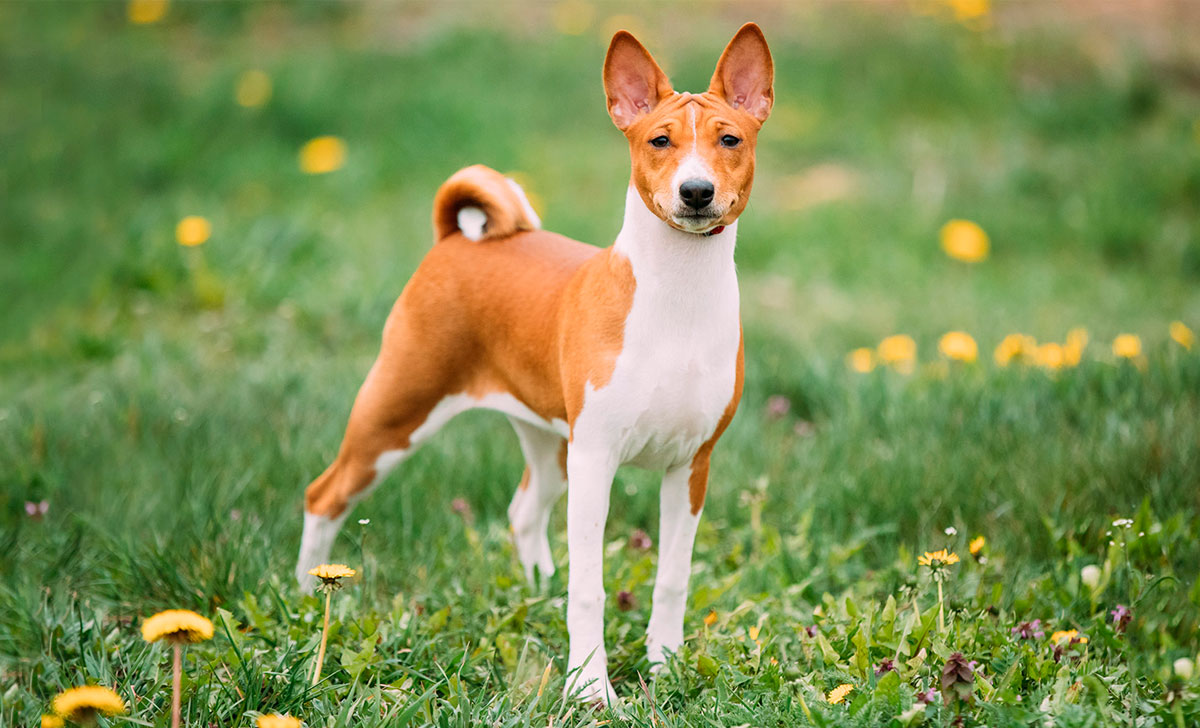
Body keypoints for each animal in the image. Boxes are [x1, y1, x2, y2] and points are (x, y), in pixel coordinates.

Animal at [295, 24, 772, 705]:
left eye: (729, 139)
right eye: (659, 140)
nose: (696, 191)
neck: (675, 299)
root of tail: (458, 240)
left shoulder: (690, 466)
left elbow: (672, 579)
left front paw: (665, 665)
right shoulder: (598, 458)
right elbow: (590, 589)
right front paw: (591, 689)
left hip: (550, 442)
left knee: (524, 511)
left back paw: (538, 589)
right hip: (395, 415)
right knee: (324, 494)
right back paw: (308, 598)